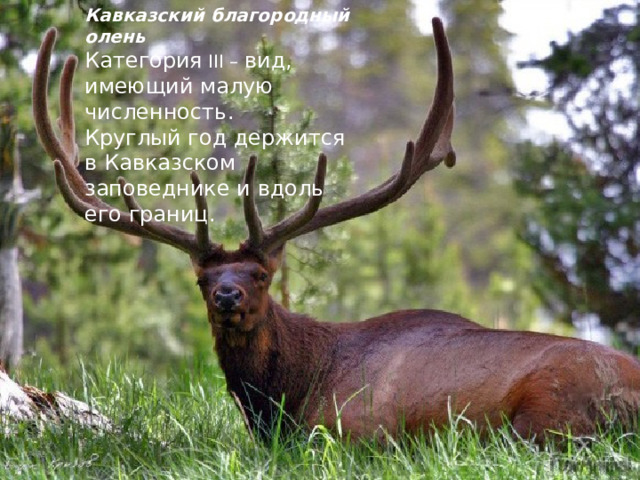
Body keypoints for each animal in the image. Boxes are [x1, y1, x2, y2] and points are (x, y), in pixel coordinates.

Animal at [33, 18, 640, 445]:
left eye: (260, 274)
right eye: (203, 280)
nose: (228, 295)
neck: (290, 398)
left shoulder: (354, 433)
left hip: (548, 416)